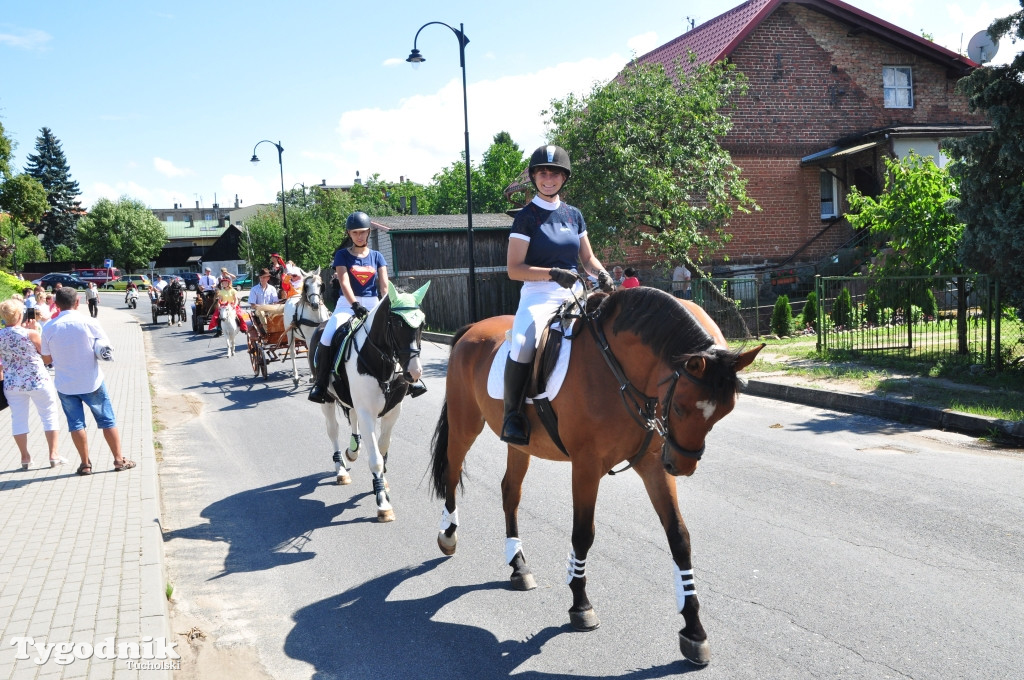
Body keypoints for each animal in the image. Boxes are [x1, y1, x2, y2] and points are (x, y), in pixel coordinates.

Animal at [428, 284, 765, 663]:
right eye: (679, 407)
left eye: (725, 411)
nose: (682, 465)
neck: (619, 369)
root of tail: (472, 329)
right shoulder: (586, 466)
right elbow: (583, 534)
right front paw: (580, 605)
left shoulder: (652, 465)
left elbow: (679, 538)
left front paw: (693, 630)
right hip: (465, 424)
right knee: (453, 472)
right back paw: (448, 536)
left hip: (519, 445)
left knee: (510, 492)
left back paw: (518, 565)